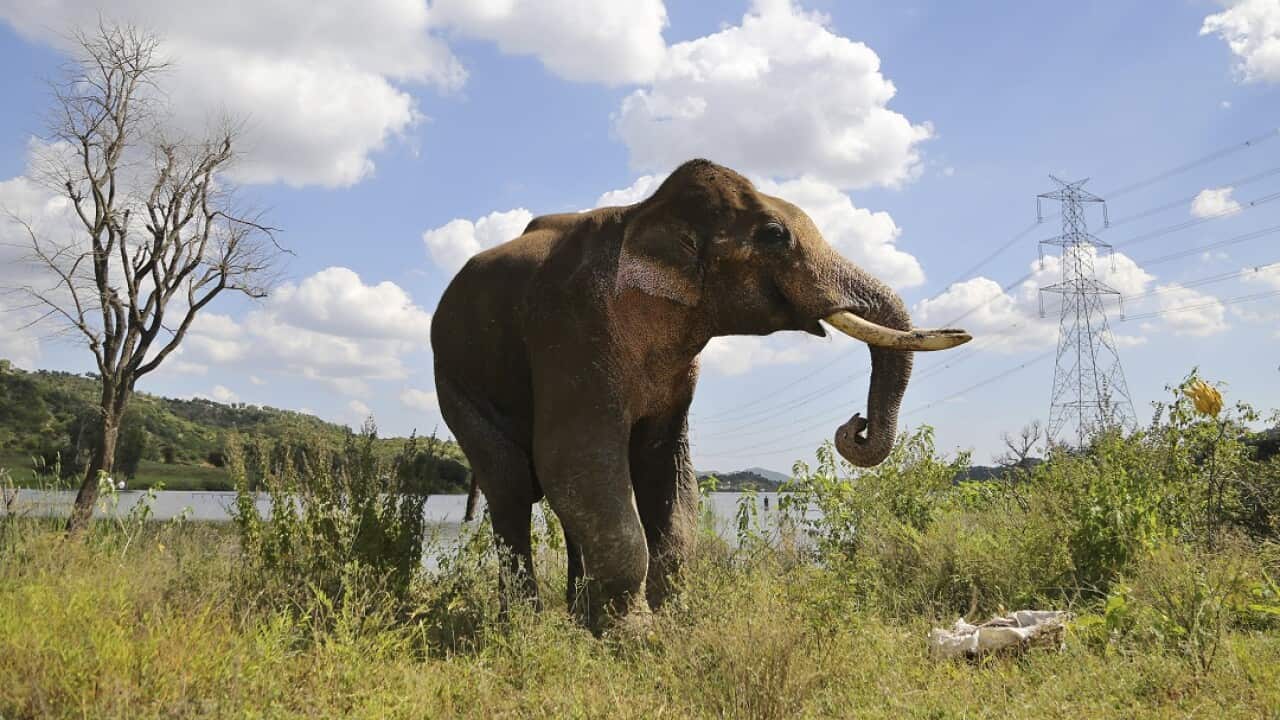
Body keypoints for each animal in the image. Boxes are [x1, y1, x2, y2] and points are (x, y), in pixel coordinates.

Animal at [431, 159, 970, 633]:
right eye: (773, 235)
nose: (854, 424)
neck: (644, 213)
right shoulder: (571, 333)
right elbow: (574, 459)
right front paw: (636, 639)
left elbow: (666, 468)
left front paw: (673, 621)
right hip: (453, 379)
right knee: (512, 487)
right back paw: (523, 625)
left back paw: (576, 619)